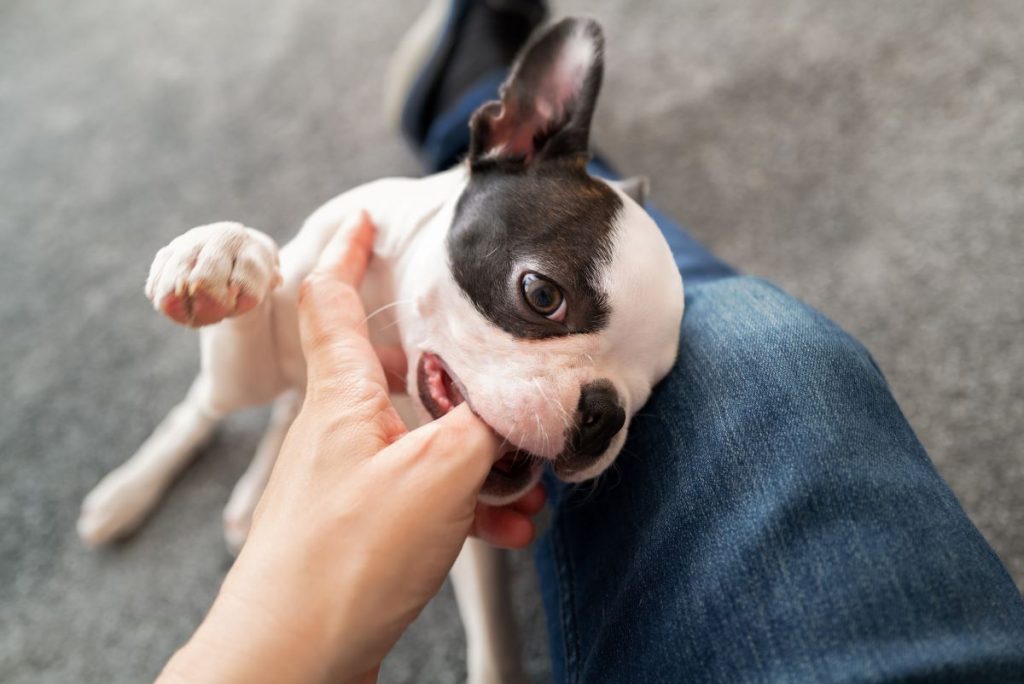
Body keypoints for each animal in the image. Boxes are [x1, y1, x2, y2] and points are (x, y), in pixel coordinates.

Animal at [79, 18, 684, 679]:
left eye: (649, 390)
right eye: (542, 294)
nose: (604, 414)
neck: (384, 328)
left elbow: (492, 628)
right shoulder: (267, 342)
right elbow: (248, 306)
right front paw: (223, 251)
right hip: (229, 388)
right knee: (203, 409)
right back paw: (128, 492)